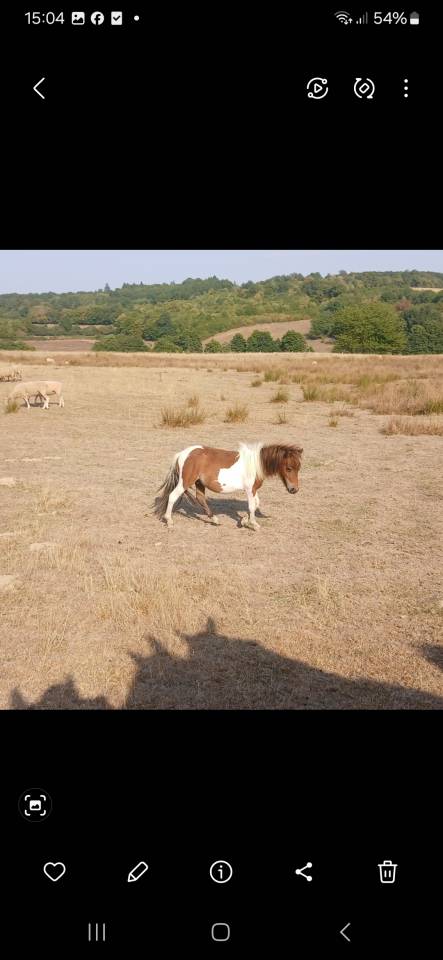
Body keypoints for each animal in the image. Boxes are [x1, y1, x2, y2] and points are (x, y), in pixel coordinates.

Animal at [153, 442, 303, 530]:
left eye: (299, 468)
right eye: (289, 468)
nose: (294, 489)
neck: (255, 464)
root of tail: (182, 454)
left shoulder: (254, 489)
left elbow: (256, 504)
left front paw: (244, 521)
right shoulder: (250, 489)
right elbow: (251, 506)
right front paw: (253, 524)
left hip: (199, 483)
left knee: (200, 498)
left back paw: (215, 520)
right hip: (186, 481)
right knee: (172, 496)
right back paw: (169, 521)